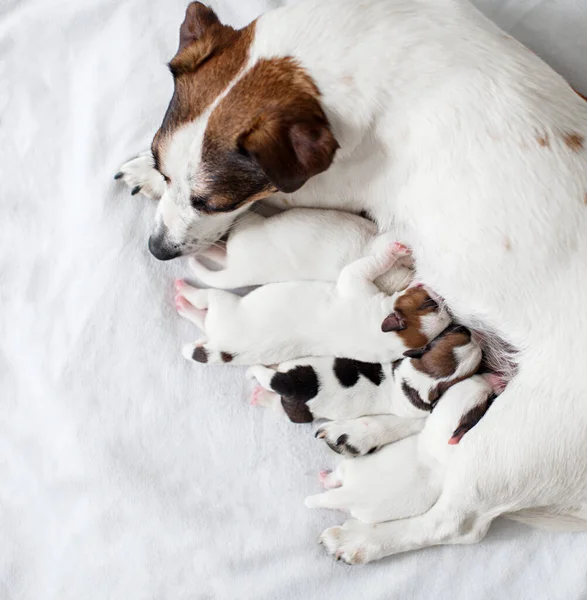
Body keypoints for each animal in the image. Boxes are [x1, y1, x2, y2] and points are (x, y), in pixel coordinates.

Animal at [173, 244, 450, 366]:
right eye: (428, 304)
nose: (445, 302)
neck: (386, 337)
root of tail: (221, 349)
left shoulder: (355, 284)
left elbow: (366, 265)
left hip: (223, 304)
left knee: (202, 302)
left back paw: (182, 297)